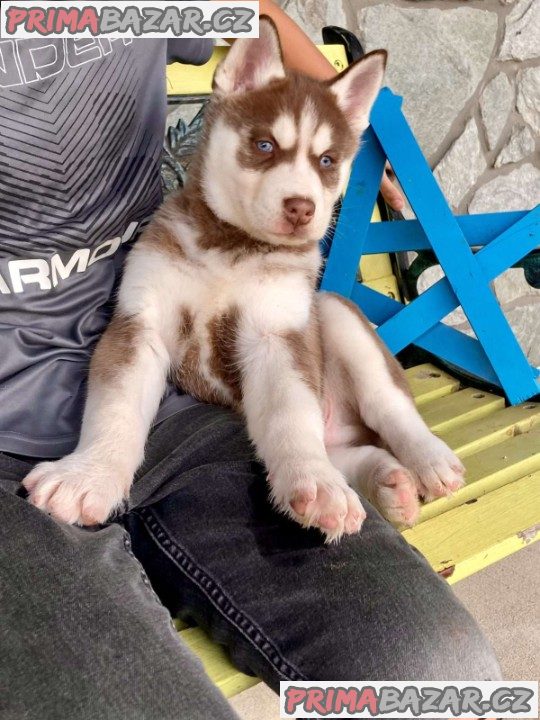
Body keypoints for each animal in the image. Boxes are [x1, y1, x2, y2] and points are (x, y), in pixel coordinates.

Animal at [24, 18, 464, 540]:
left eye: (327, 161)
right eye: (264, 146)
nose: (302, 208)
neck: (232, 250)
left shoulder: (278, 333)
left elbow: (291, 417)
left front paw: (314, 482)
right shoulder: (139, 323)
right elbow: (115, 408)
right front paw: (88, 476)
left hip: (333, 312)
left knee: (390, 407)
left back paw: (427, 461)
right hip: (339, 426)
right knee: (351, 450)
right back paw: (389, 483)